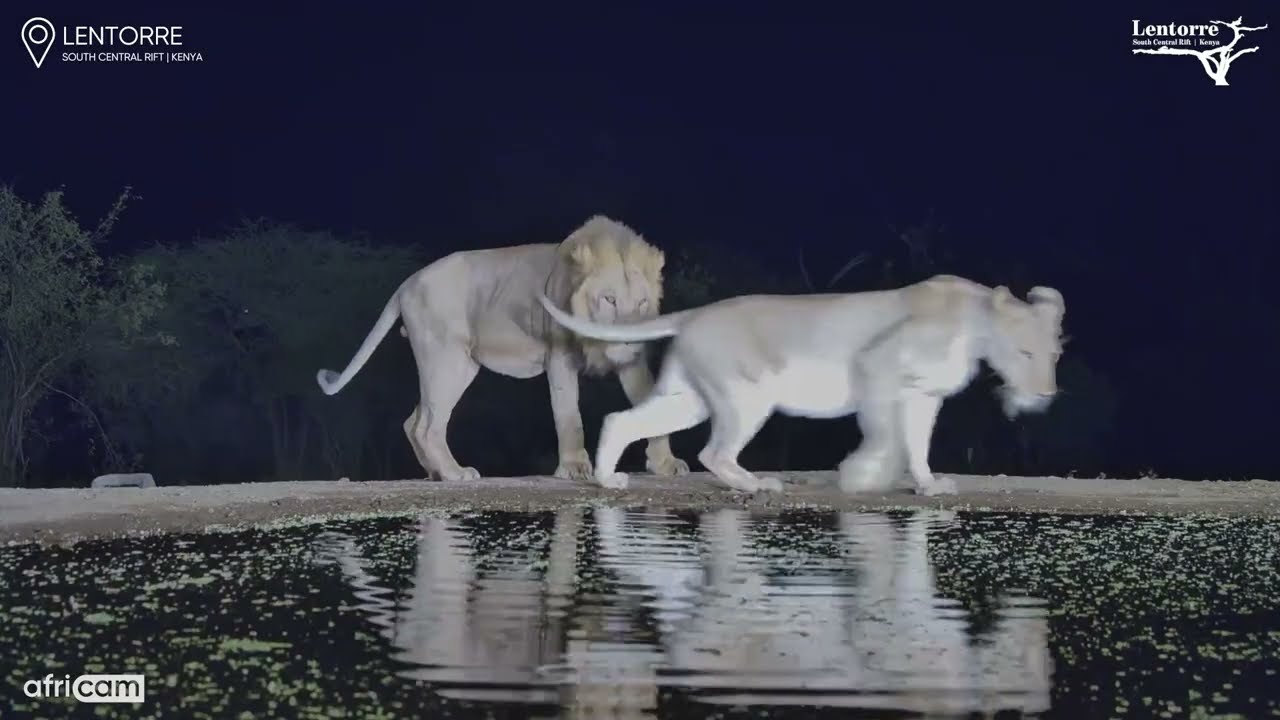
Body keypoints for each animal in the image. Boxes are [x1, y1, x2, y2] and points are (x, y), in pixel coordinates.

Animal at [315, 215, 691, 483]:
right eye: (609, 299)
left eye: (642, 302)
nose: (629, 337)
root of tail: (406, 284)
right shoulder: (559, 356)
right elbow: (568, 414)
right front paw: (574, 469)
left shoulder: (633, 363)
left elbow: (654, 406)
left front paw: (665, 464)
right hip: (446, 359)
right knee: (427, 425)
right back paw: (454, 473)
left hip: (458, 366)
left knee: (415, 421)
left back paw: (437, 473)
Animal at [537, 274, 1065, 496]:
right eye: (1025, 353)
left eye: (1054, 355)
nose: (1045, 395)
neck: (975, 327)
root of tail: (693, 315)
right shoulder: (875, 366)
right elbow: (885, 437)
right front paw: (862, 477)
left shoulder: (922, 397)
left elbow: (917, 446)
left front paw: (929, 486)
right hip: (748, 395)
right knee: (714, 453)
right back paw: (757, 484)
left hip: (688, 399)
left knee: (621, 421)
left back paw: (608, 480)